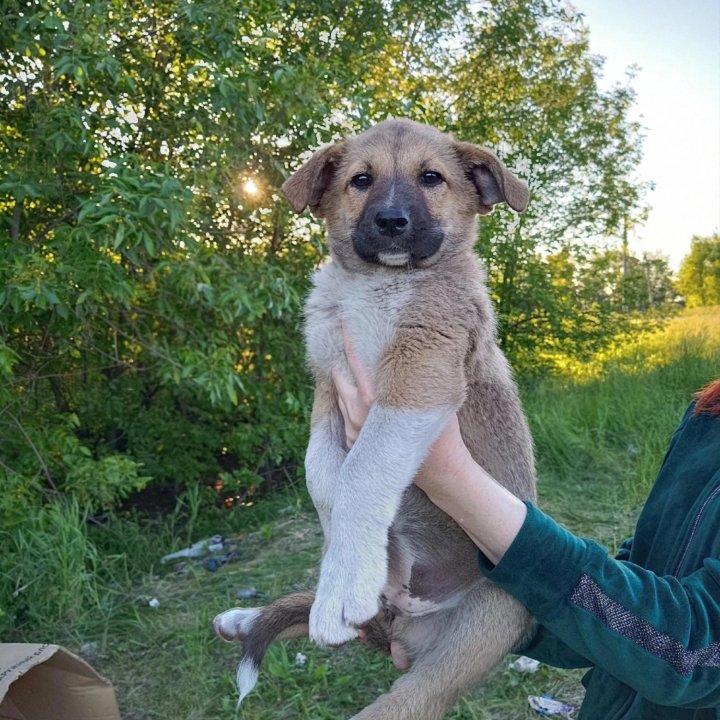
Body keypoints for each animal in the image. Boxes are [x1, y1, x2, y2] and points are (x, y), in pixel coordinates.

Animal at [212, 121, 536, 716]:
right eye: (361, 180)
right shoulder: (328, 385)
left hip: (481, 628)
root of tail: (406, 623)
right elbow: (323, 476)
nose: (391, 222)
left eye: (432, 178)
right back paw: (248, 619)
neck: (376, 286)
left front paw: (342, 585)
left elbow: (363, 470)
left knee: (410, 698)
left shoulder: (419, 373)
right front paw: (350, 567)